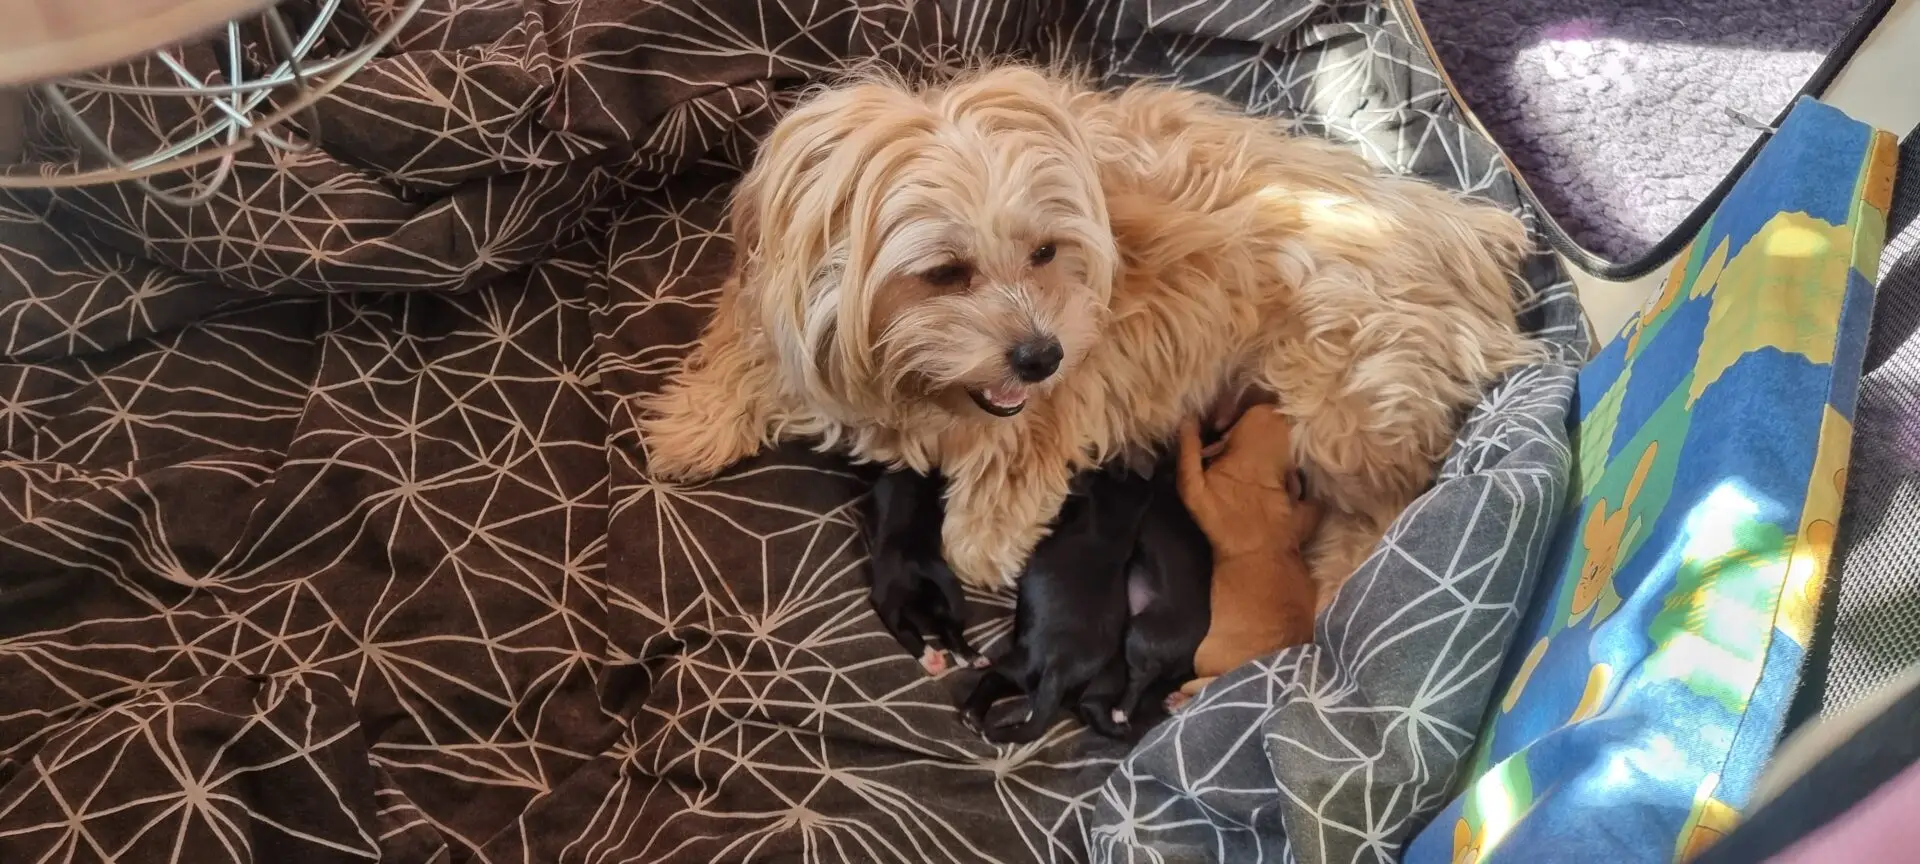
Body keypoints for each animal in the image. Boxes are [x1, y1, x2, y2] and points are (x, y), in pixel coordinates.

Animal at [640, 64, 1537, 607]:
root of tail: (1472, 231)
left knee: (1391, 498)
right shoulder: (779, 303)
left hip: (1347, 403)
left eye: (1045, 252)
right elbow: (746, 351)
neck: (909, 383)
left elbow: (1010, 468)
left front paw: (983, 537)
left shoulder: (1080, 381)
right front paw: (697, 423)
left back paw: (1339, 574)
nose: (1040, 356)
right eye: (946, 273)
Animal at [1174, 407, 1324, 700]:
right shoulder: (1295, 516)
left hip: (1204, 657)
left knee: (1198, 684)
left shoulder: (1200, 494)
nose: (1282, 406)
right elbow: (1310, 513)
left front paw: (1188, 427)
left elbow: (1188, 469)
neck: (1252, 475)